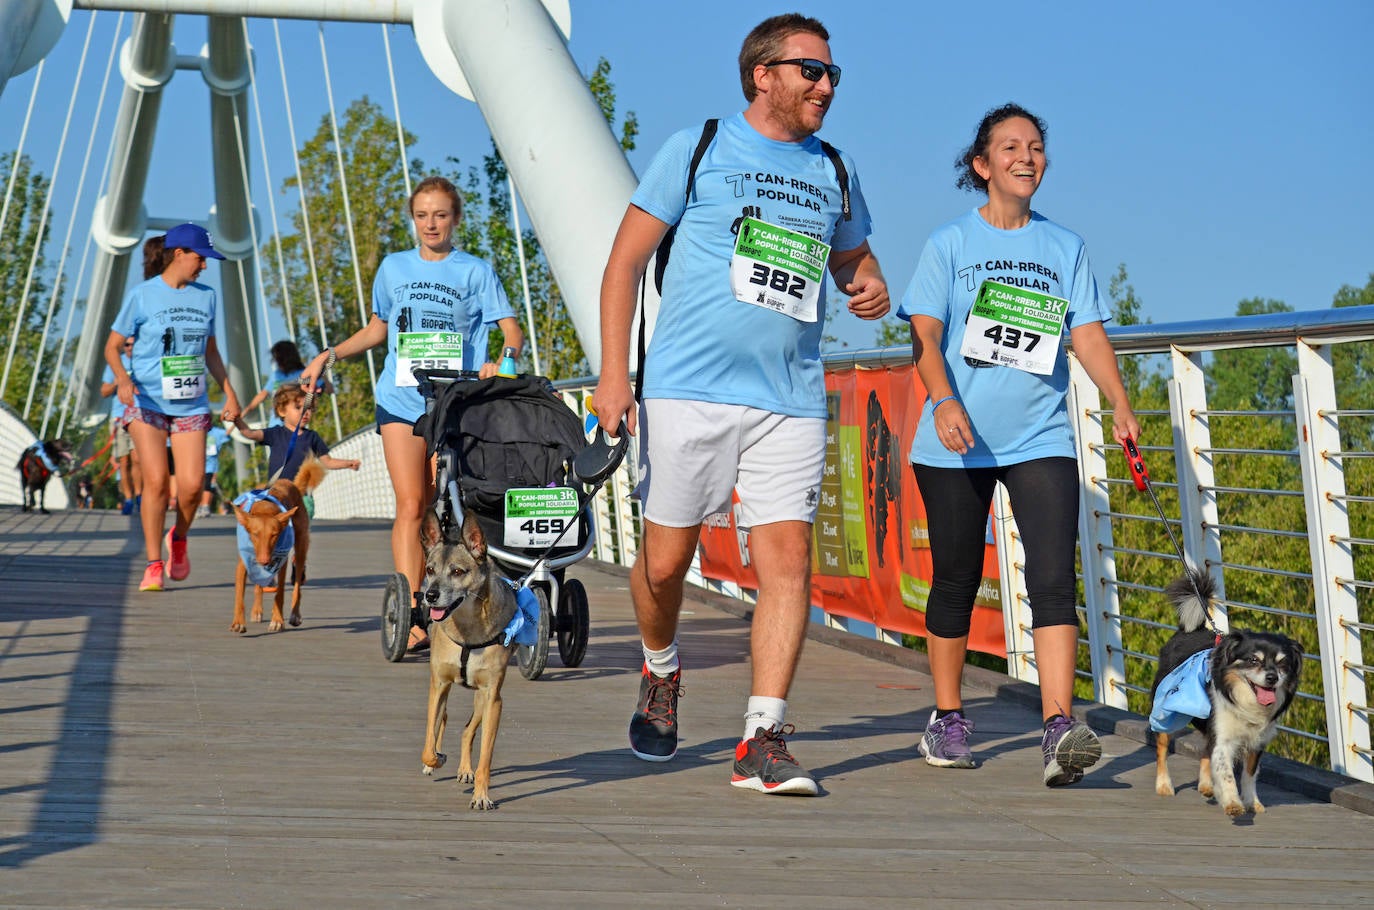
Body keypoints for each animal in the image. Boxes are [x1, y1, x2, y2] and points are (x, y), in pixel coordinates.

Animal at [233, 464, 327, 635]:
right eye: (255, 534)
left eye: (275, 535)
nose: (264, 561)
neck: (265, 508)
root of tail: (289, 482)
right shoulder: (243, 563)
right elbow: (239, 595)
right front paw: (238, 623)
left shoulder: (280, 562)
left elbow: (280, 593)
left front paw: (277, 621)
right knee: (259, 586)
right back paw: (257, 610)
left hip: (301, 546)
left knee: (297, 584)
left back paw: (295, 615)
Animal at [414, 505, 516, 813]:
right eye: (430, 569)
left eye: (458, 572)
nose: (430, 595)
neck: (468, 628)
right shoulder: (438, 685)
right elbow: (428, 743)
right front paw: (435, 759)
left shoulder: (493, 697)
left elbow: (485, 756)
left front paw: (481, 795)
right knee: (441, 721)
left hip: (482, 700)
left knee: (468, 731)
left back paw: (465, 770)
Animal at [1148, 571, 1297, 819]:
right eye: (1253, 660)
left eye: (1282, 663)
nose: (1272, 677)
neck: (1246, 702)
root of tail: (1187, 631)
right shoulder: (1224, 737)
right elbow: (1226, 772)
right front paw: (1233, 803)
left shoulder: (1256, 742)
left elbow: (1249, 775)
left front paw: (1251, 802)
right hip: (1164, 712)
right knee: (1162, 746)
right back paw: (1163, 785)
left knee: (1206, 750)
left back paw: (1206, 785)